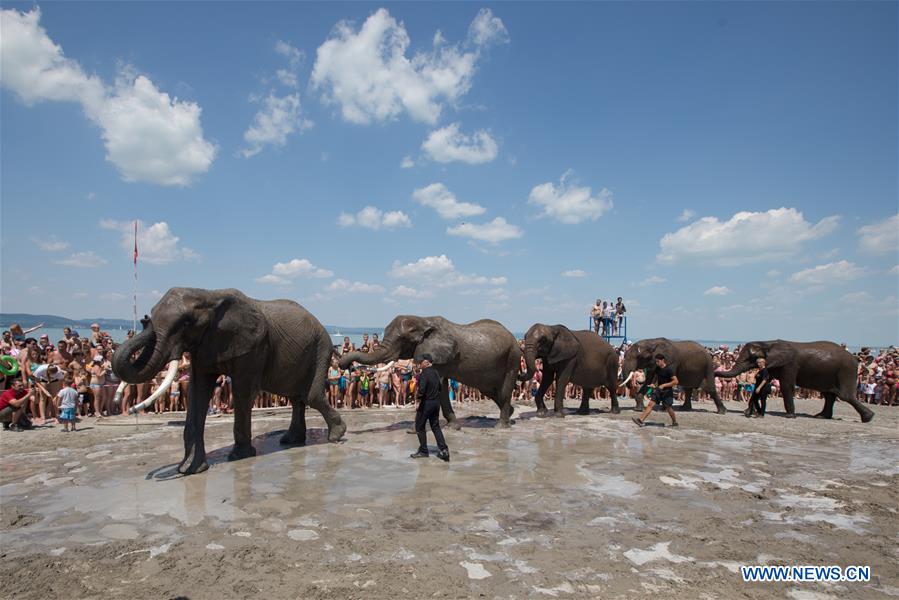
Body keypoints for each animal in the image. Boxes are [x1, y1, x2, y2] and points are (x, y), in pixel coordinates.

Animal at [112, 287, 347, 475]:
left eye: (186, 322)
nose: (144, 319)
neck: (208, 295)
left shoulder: (254, 347)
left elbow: (243, 391)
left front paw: (239, 456)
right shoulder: (204, 347)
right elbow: (198, 392)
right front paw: (189, 469)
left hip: (321, 347)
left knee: (310, 395)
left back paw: (336, 435)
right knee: (295, 396)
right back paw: (291, 440)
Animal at [338, 315, 521, 428]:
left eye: (403, 340)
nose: (348, 367)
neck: (424, 320)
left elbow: (438, 384)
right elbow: (441, 386)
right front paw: (452, 427)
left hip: (512, 357)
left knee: (505, 389)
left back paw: (501, 426)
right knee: (490, 390)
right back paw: (510, 415)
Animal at [715, 340, 874, 423]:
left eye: (751, 358)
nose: (715, 370)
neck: (768, 343)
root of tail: (855, 360)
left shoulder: (789, 365)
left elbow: (785, 386)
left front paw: (789, 416)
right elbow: (760, 386)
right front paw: (748, 412)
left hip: (845, 372)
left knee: (844, 395)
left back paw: (868, 418)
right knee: (829, 395)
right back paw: (822, 416)